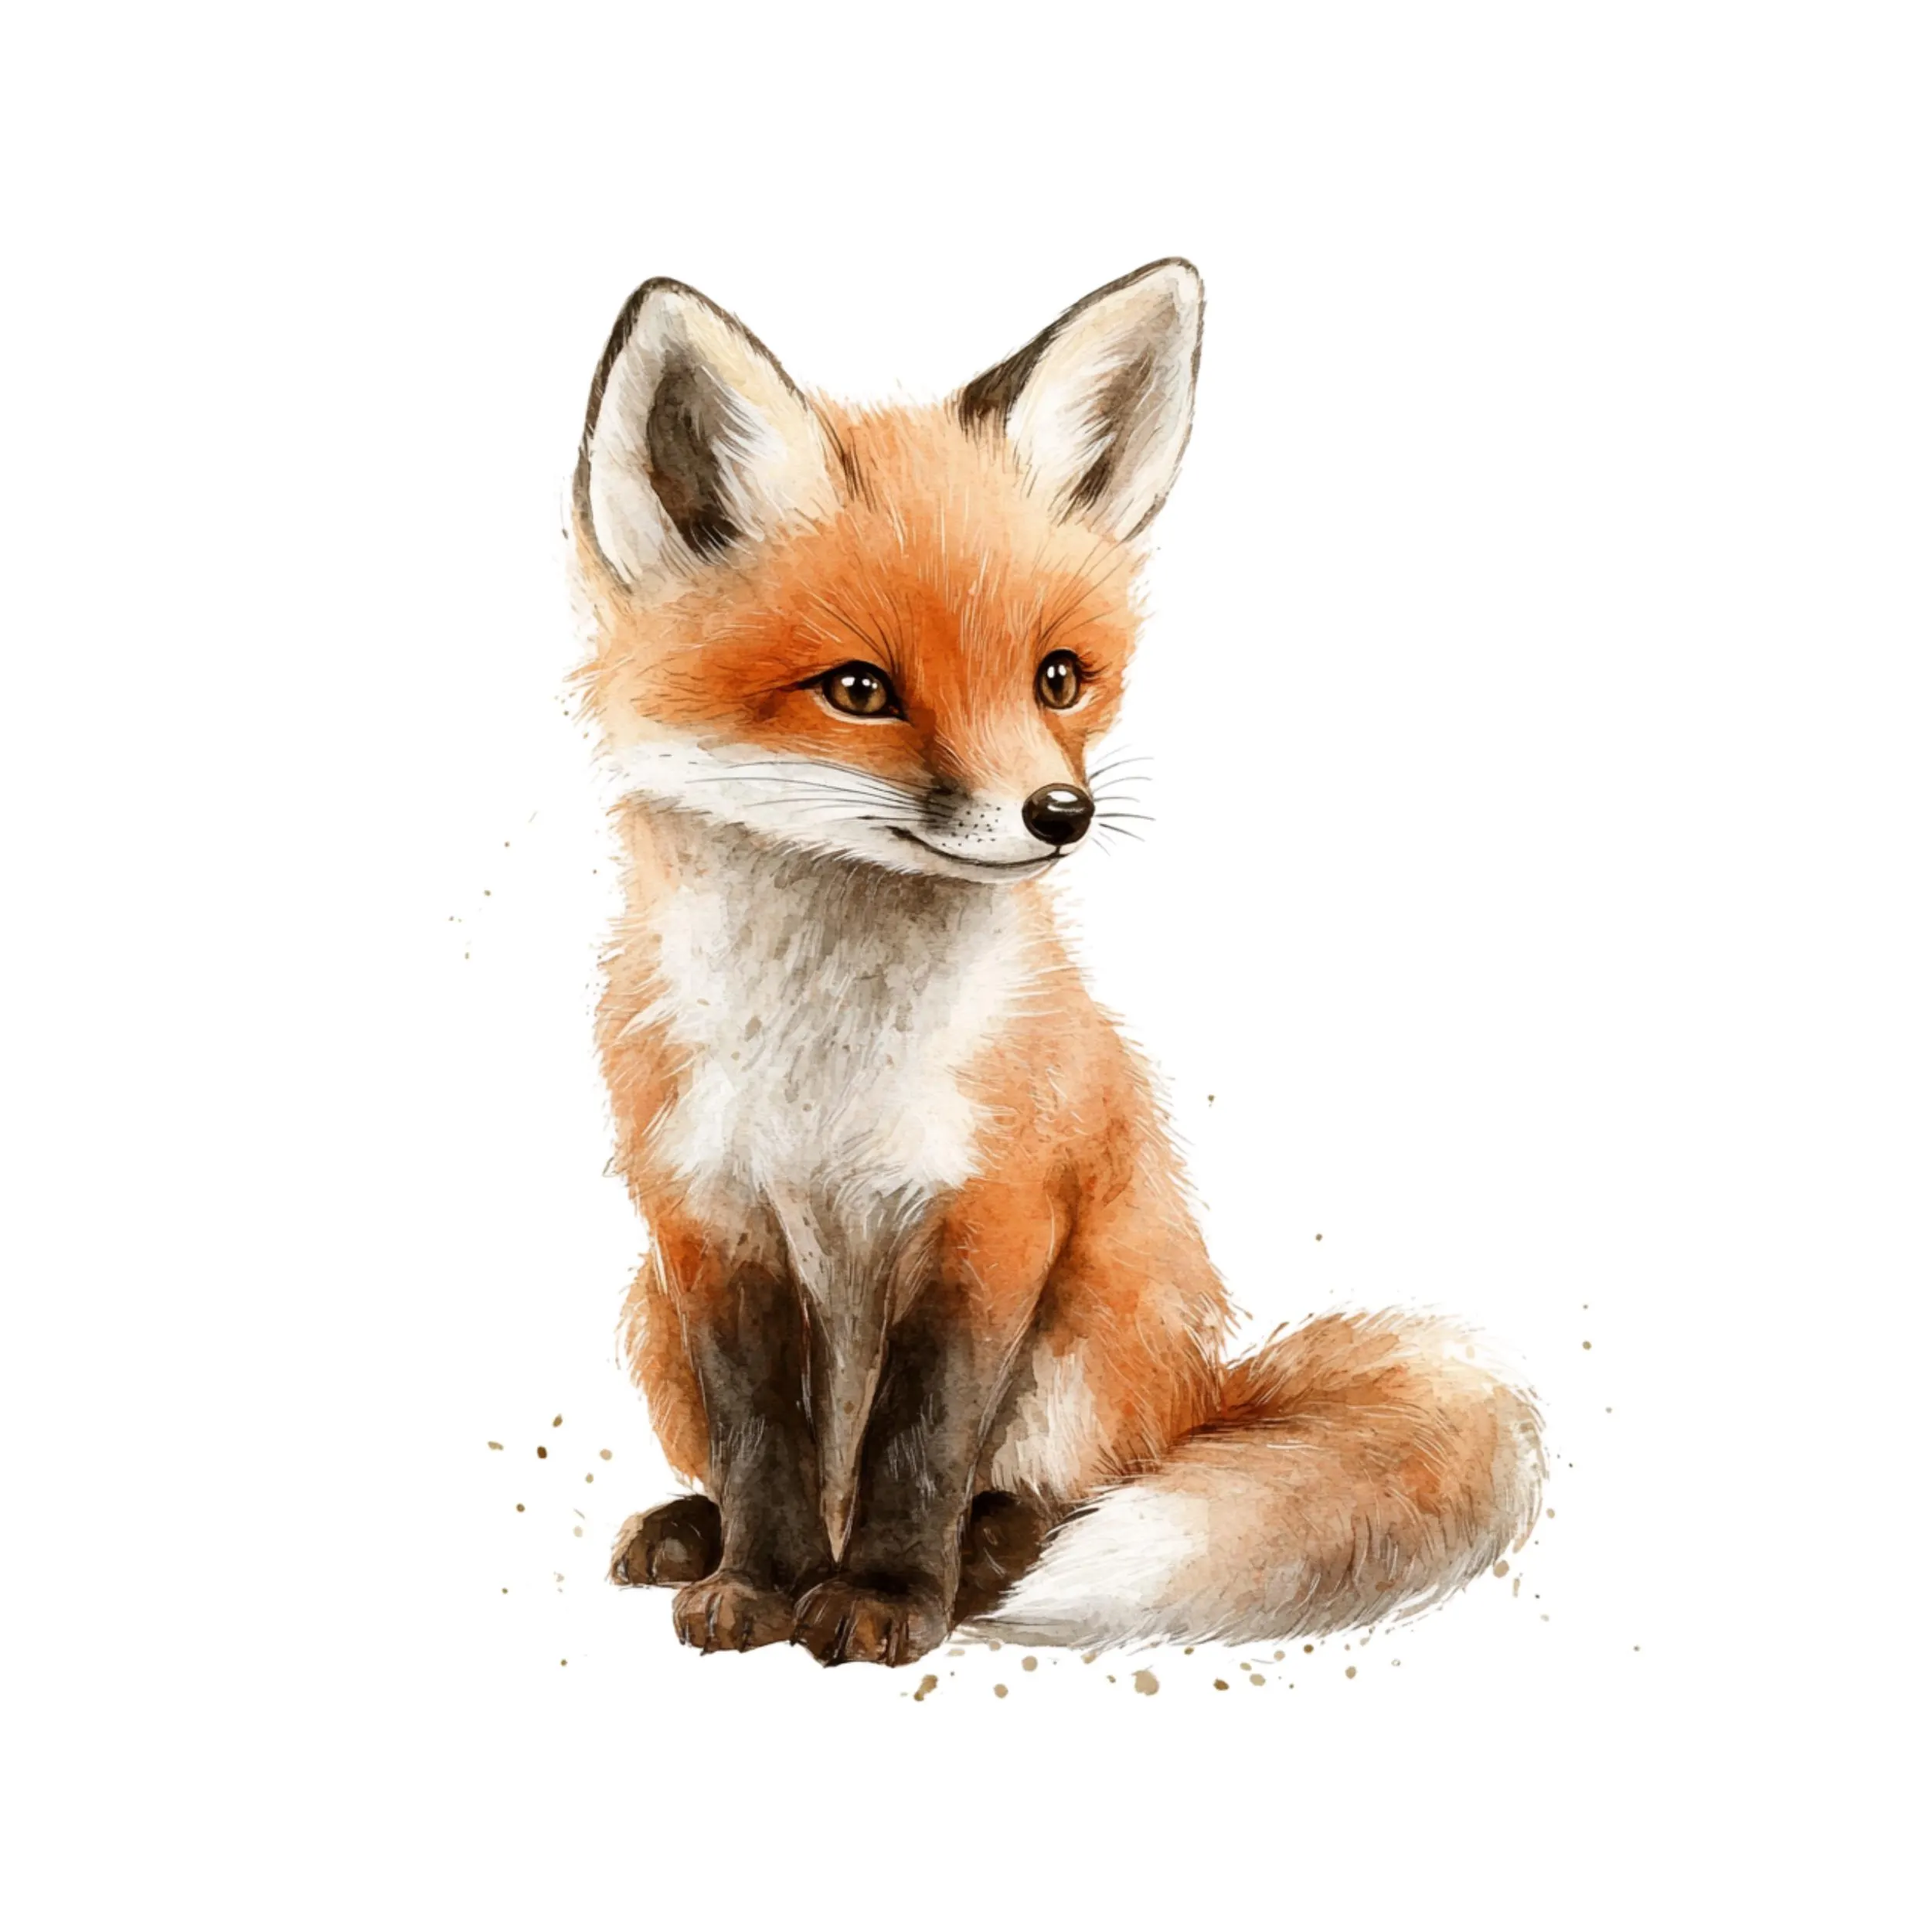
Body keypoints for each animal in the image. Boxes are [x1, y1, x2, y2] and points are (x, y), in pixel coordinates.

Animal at [573, 259, 1544, 1666]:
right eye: (858, 691)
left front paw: (884, 1599)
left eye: (1059, 678)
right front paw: (759, 1583)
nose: (1060, 814)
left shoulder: (995, 1209)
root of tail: (1210, 1390)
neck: (828, 1077)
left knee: (1076, 1487)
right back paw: (693, 1533)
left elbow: (924, 1440)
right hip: (651, 1319)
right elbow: (762, 1437)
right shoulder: (707, 1218)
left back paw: (991, 1560)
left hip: (1095, 1336)